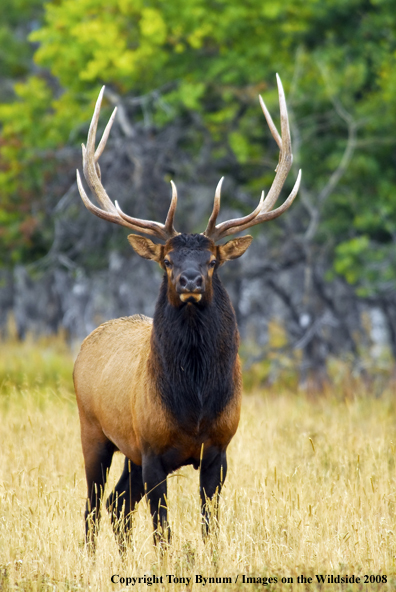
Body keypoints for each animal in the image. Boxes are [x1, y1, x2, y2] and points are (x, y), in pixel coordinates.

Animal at [72, 75, 300, 552]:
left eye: (213, 260)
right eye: (167, 260)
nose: (190, 281)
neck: (193, 404)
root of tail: (87, 342)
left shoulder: (218, 450)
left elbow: (210, 526)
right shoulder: (152, 449)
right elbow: (163, 531)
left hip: (128, 454)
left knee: (119, 507)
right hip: (93, 431)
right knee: (94, 507)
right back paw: (90, 556)